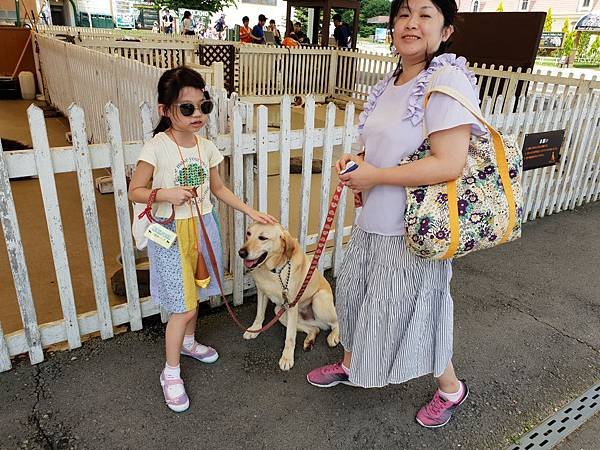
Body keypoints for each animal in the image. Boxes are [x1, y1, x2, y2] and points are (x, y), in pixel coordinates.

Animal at [240, 223, 342, 370]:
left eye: (262, 238)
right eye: (248, 234)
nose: (241, 253)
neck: (274, 270)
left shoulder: (292, 304)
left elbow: (290, 336)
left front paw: (287, 358)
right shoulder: (262, 292)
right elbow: (259, 314)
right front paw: (255, 329)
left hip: (319, 301)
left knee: (336, 322)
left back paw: (333, 336)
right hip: (279, 311)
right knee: (315, 329)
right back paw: (309, 340)